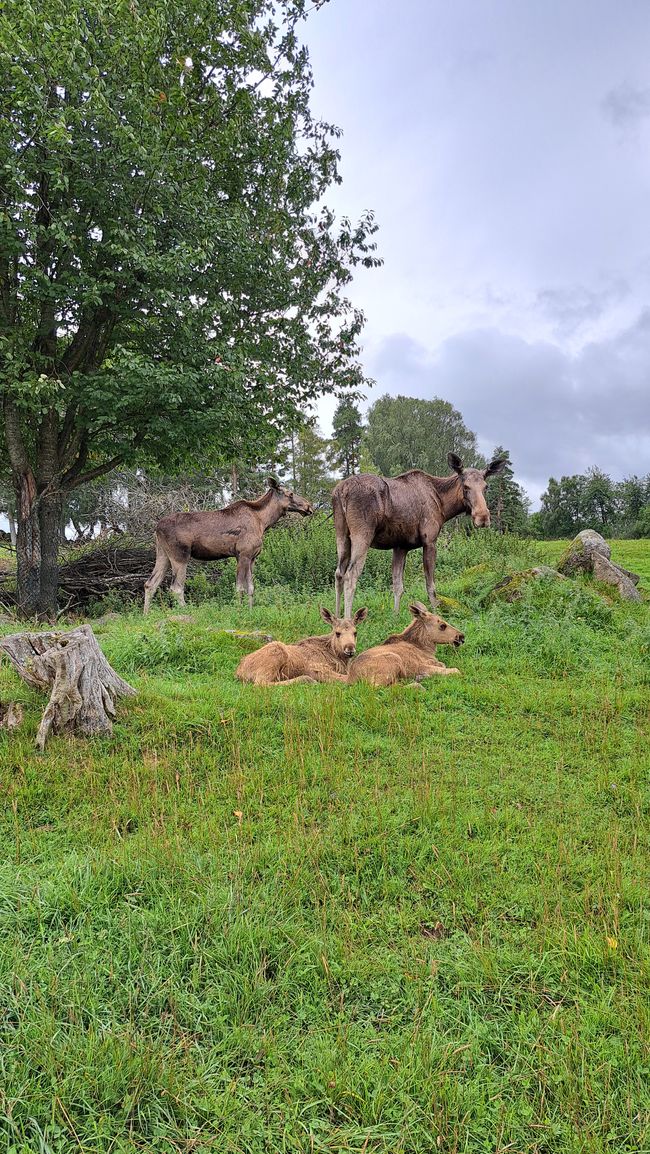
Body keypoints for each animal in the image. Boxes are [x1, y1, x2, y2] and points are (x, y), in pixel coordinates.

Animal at [143, 477, 316, 613]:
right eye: (290, 494)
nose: (309, 506)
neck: (263, 522)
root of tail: (157, 527)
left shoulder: (252, 558)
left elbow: (251, 588)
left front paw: (250, 611)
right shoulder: (243, 554)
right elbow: (240, 587)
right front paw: (239, 611)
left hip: (163, 554)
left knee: (150, 584)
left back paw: (146, 616)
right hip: (180, 555)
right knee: (176, 588)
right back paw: (188, 613)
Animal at [234, 604, 369, 683]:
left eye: (355, 632)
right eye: (337, 633)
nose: (350, 649)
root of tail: (239, 672)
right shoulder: (316, 668)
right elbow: (348, 679)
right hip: (276, 651)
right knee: (261, 684)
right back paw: (305, 679)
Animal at [330, 450, 507, 618]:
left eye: (486, 487)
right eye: (465, 487)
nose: (482, 517)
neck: (444, 506)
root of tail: (341, 491)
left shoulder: (400, 546)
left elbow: (398, 586)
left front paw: (395, 616)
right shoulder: (429, 541)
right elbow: (430, 586)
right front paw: (436, 615)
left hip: (341, 534)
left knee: (339, 573)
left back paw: (336, 618)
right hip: (362, 534)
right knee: (351, 575)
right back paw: (347, 621)